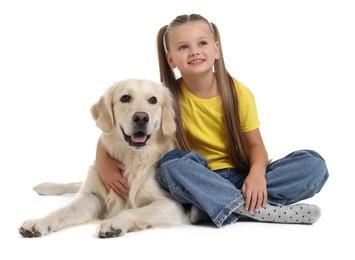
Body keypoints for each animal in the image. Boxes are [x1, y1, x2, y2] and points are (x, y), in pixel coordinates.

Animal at [18, 78, 192, 238]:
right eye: (125, 98)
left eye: (153, 100)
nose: (141, 117)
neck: (132, 158)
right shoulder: (91, 196)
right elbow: (62, 211)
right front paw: (38, 223)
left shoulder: (172, 204)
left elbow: (134, 212)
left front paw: (114, 223)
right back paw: (44, 186)